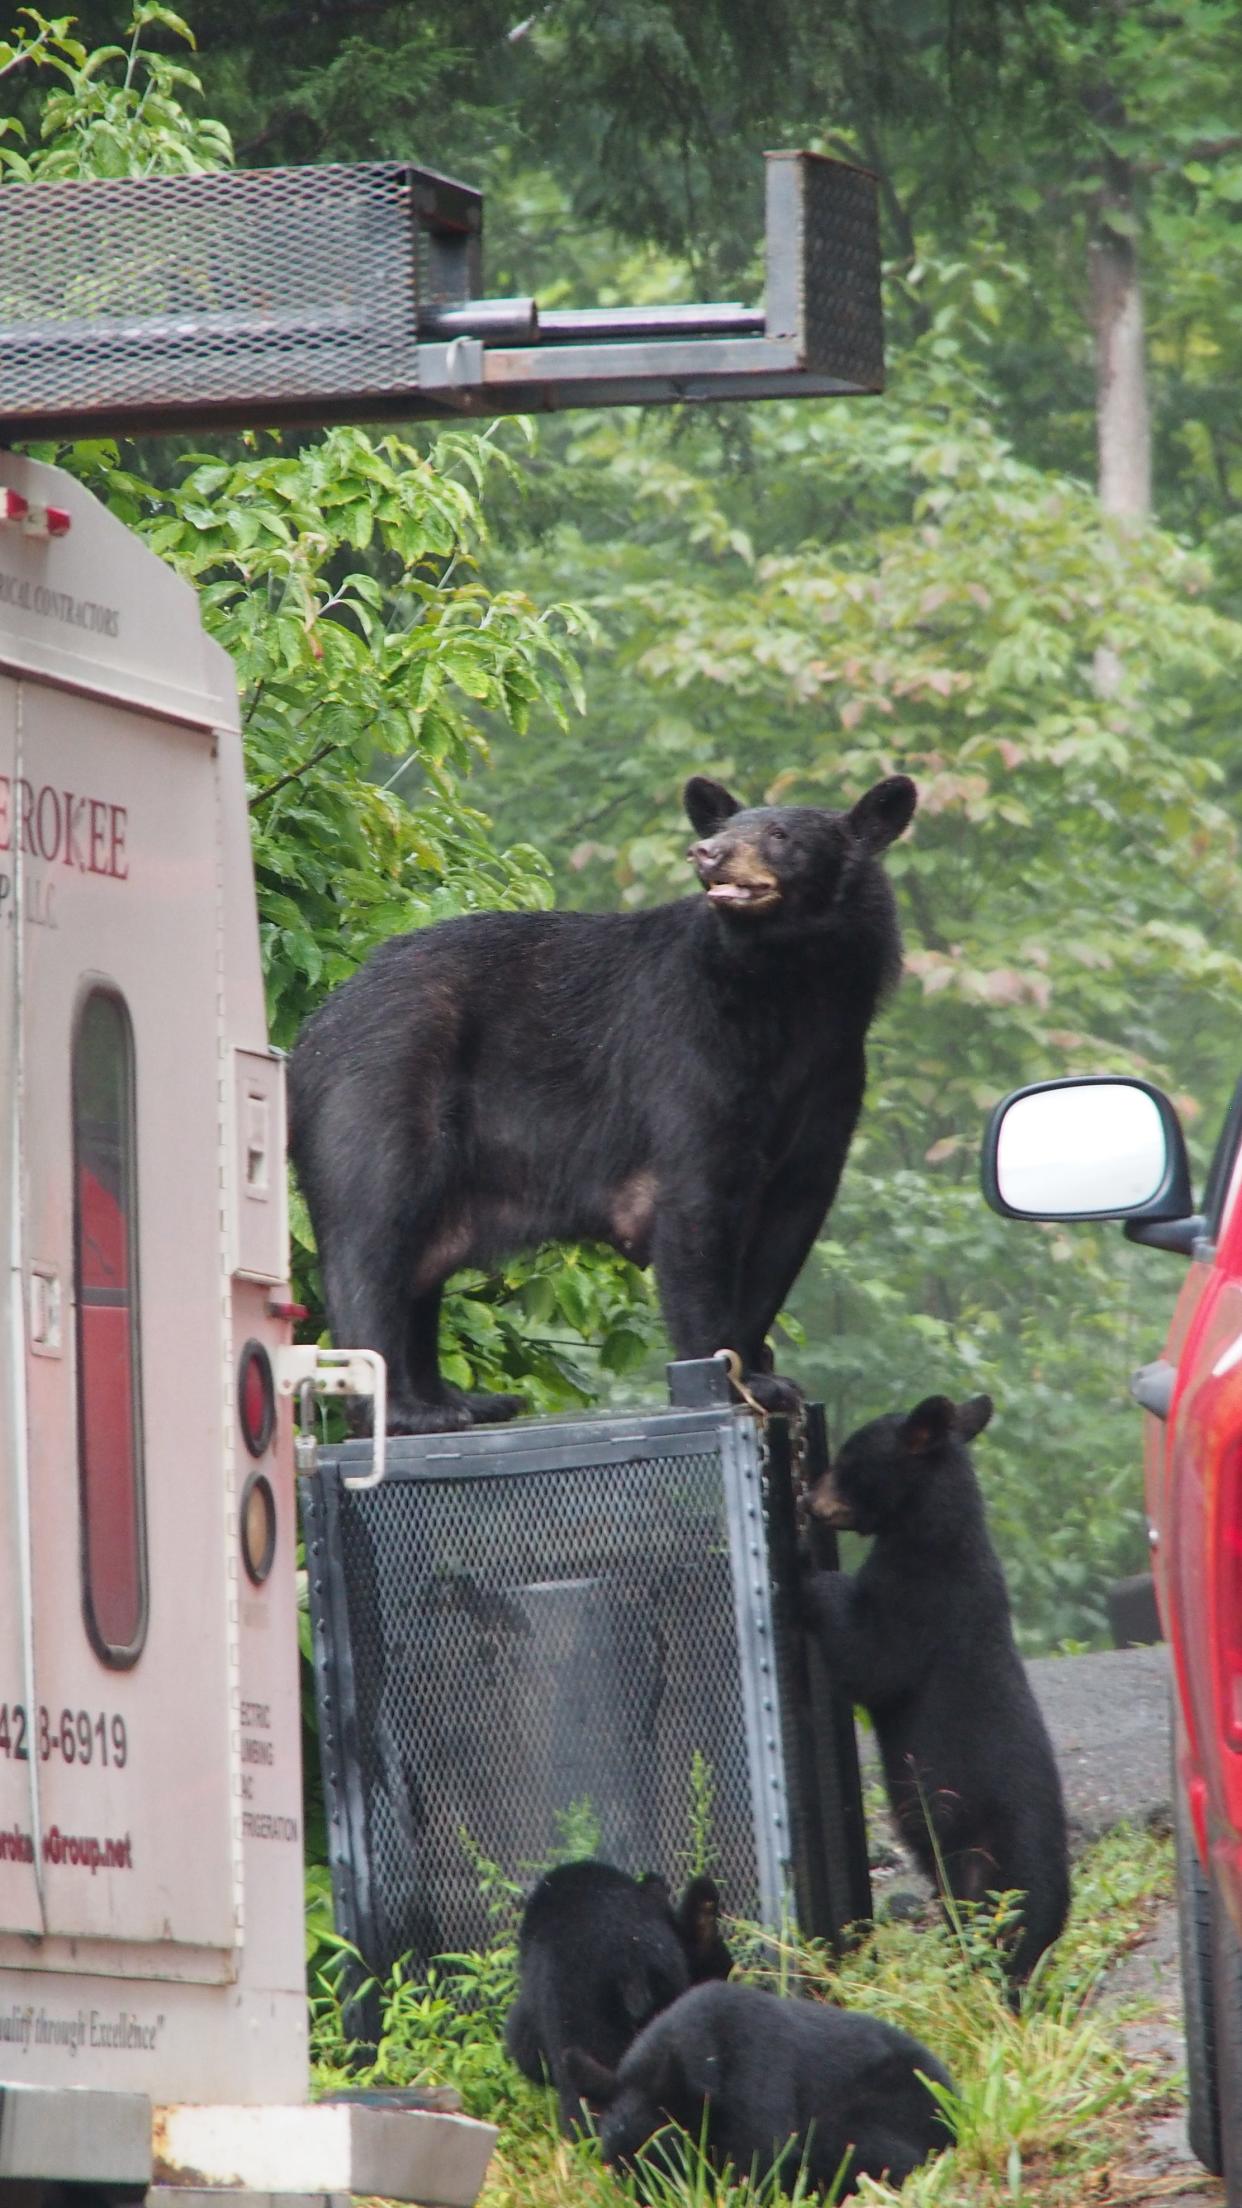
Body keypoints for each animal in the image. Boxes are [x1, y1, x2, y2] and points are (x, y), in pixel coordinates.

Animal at [287, 772, 910, 1430]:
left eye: (779, 833)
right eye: (723, 829)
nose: (707, 853)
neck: (790, 988)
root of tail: (312, 1031)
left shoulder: (831, 1078)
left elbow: (789, 1224)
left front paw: (763, 1373)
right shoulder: (692, 1051)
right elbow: (696, 1205)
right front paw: (723, 1373)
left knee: (418, 1269)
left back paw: (461, 1400)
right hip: (381, 1085)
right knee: (372, 1236)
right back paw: (407, 1412)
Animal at [804, 1395, 1065, 1987]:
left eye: (848, 1460)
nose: (808, 1500)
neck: (930, 1531)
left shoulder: (923, 1600)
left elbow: (874, 1661)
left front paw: (818, 1579)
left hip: (994, 1863)